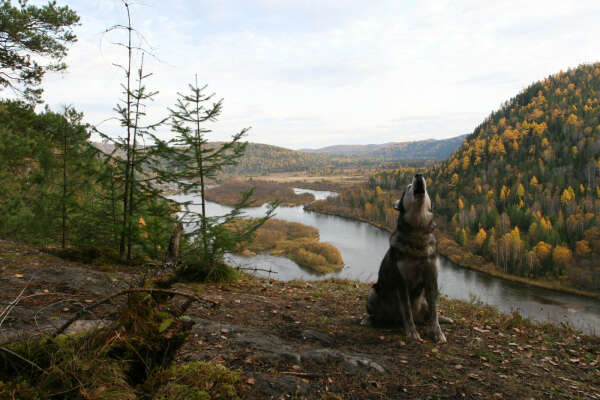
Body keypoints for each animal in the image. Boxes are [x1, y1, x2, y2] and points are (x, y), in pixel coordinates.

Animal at [364, 173, 448, 342]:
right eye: (408, 187)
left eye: (426, 187)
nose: (418, 175)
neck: (418, 234)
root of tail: (394, 320)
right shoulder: (402, 282)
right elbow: (407, 312)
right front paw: (412, 332)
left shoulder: (431, 279)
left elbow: (434, 312)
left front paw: (438, 333)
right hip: (373, 292)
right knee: (378, 315)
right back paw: (370, 320)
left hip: (423, 302)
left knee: (427, 315)